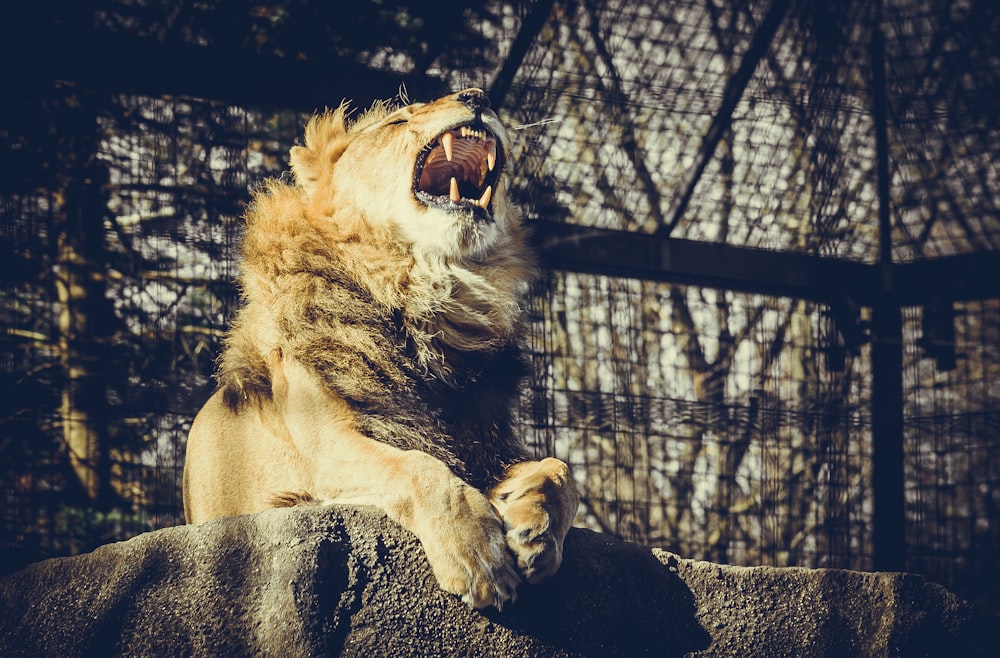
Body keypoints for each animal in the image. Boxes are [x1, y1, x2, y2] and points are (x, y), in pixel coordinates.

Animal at [182, 89, 580, 608]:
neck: (428, 301)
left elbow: (559, 469)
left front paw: (538, 533)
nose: (477, 95)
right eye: (397, 121)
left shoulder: (485, 447)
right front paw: (476, 553)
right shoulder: (329, 447)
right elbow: (417, 467)